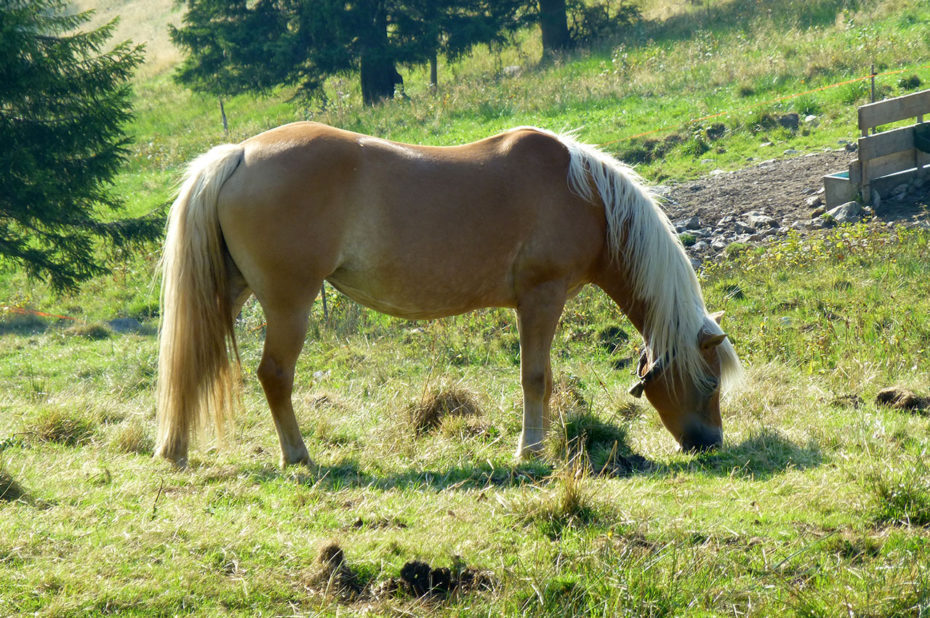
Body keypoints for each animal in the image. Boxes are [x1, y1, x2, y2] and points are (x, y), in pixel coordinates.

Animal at [158, 121, 740, 466]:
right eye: (710, 381)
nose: (710, 444)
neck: (587, 198)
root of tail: (239, 153)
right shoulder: (541, 299)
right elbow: (536, 377)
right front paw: (531, 450)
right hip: (288, 304)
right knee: (274, 375)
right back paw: (297, 456)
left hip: (229, 291)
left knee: (192, 362)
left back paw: (176, 448)